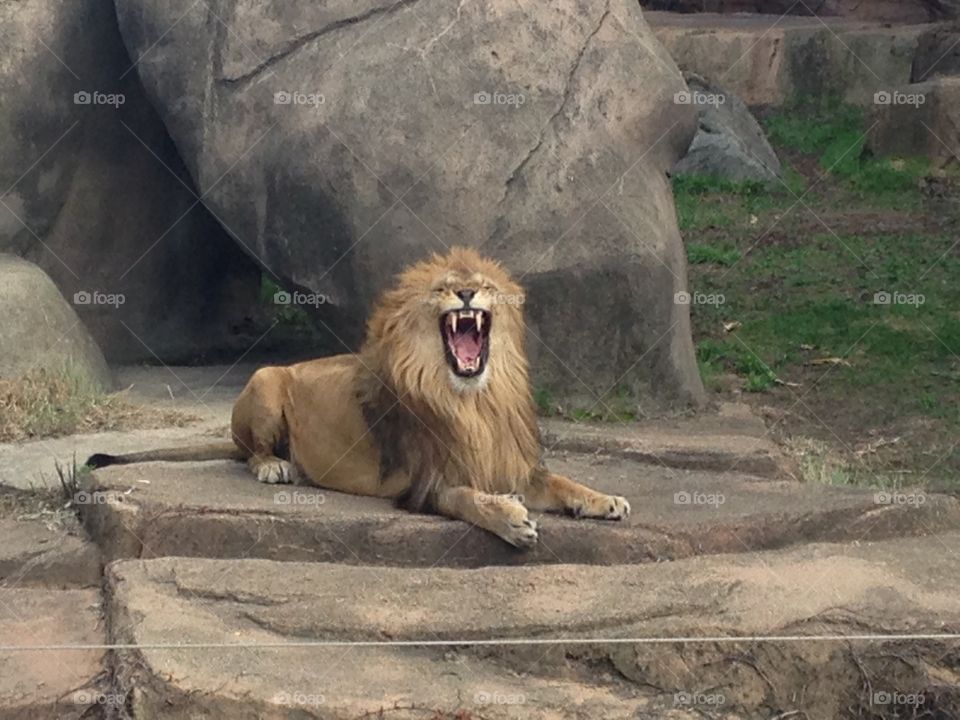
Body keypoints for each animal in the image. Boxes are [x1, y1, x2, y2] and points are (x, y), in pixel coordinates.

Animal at [87, 247, 630, 547]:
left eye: (483, 285)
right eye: (444, 288)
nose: (466, 296)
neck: (475, 401)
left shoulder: (515, 465)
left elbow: (564, 483)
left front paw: (605, 501)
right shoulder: (425, 485)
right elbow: (469, 500)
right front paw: (511, 518)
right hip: (265, 378)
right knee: (250, 453)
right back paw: (275, 466)